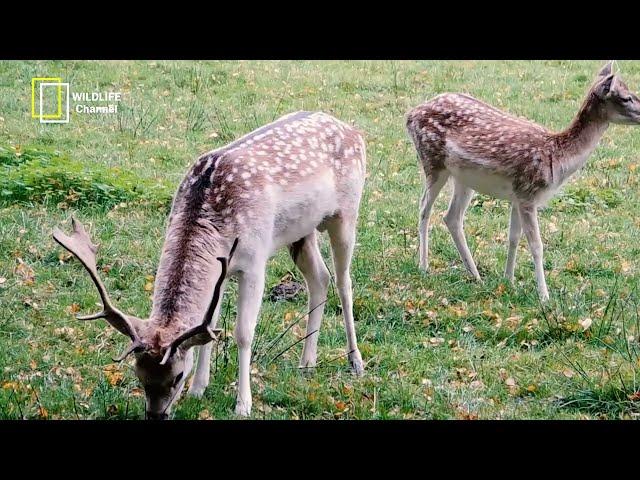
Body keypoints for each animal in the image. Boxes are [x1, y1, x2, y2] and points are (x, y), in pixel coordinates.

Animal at [54, 110, 368, 418]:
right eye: (139, 375)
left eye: (177, 375)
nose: (156, 415)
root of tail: (355, 131)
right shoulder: (222, 269)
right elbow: (211, 326)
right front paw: (199, 390)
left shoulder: (254, 261)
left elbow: (243, 333)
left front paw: (243, 405)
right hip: (302, 231)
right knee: (320, 278)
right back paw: (307, 363)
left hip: (346, 214)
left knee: (344, 282)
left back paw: (355, 361)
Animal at [408, 61, 640, 300]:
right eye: (625, 97)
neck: (556, 158)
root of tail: (410, 115)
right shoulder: (529, 193)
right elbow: (536, 245)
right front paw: (544, 296)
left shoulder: (517, 196)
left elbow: (513, 237)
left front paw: (508, 281)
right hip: (432, 162)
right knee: (424, 208)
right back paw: (424, 266)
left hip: (464, 179)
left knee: (451, 217)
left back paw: (475, 275)